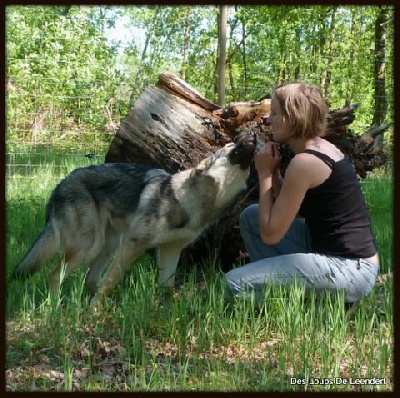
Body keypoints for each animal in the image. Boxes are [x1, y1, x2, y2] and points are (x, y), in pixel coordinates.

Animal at [12, 132, 258, 300]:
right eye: (230, 146)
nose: (252, 133)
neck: (189, 200)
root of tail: (61, 183)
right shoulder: (134, 245)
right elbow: (111, 281)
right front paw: (95, 313)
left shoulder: (171, 251)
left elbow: (166, 288)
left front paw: (165, 314)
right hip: (89, 246)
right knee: (55, 275)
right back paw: (58, 307)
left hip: (107, 247)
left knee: (90, 279)